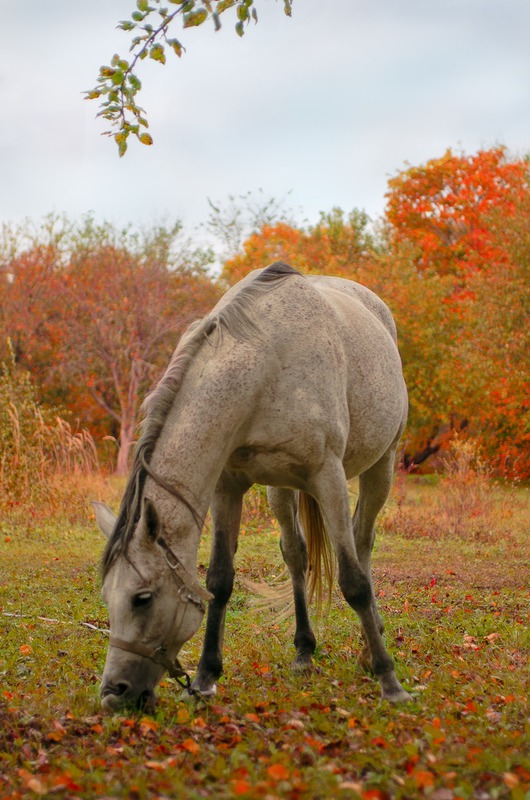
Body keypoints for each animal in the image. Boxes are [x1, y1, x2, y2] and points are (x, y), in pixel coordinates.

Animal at [94, 264, 408, 712]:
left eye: (143, 598)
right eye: (107, 596)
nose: (113, 693)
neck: (266, 364)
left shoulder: (328, 477)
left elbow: (354, 583)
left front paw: (389, 681)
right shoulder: (228, 487)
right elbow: (219, 580)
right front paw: (206, 677)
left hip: (382, 465)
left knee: (362, 544)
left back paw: (371, 648)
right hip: (282, 489)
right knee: (296, 554)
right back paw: (304, 651)